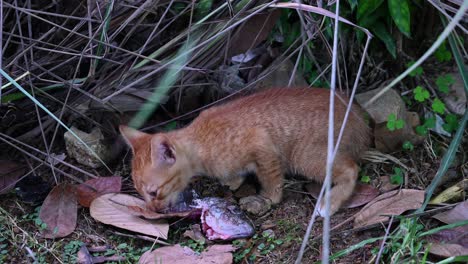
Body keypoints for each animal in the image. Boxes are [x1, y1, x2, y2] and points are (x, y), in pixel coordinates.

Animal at [121, 87, 372, 216]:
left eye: (154, 192)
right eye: (141, 193)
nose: (152, 209)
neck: (201, 140)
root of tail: (357, 117)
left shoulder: (262, 143)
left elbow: (271, 177)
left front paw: (270, 197)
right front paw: (233, 180)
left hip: (306, 157)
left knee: (351, 168)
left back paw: (329, 202)